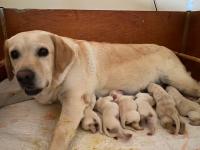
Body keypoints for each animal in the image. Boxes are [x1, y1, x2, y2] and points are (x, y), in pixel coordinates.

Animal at [3, 30, 200, 150]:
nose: (23, 76)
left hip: (179, 80)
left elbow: (60, 131)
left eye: (43, 51)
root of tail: (170, 50)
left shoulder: (74, 102)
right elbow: (7, 94)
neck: (55, 77)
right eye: (14, 54)